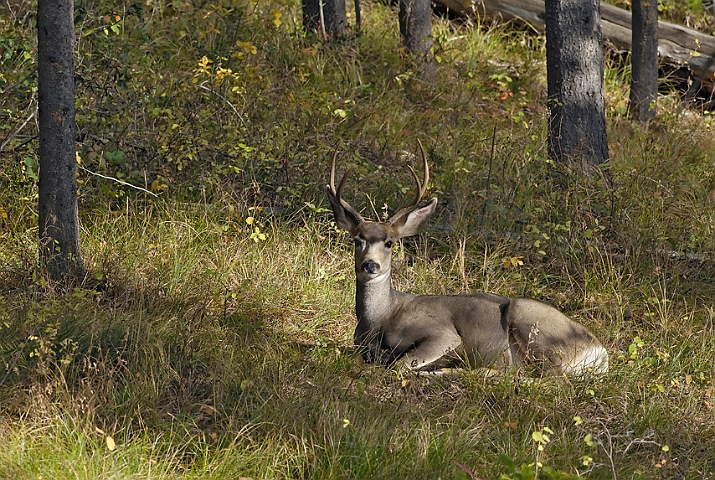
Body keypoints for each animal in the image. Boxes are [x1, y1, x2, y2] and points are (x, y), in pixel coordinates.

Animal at [328, 142, 608, 376]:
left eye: (389, 242)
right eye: (357, 239)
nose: (370, 264)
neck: (382, 318)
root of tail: (600, 352)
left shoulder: (442, 333)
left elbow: (399, 365)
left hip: (534, 326)